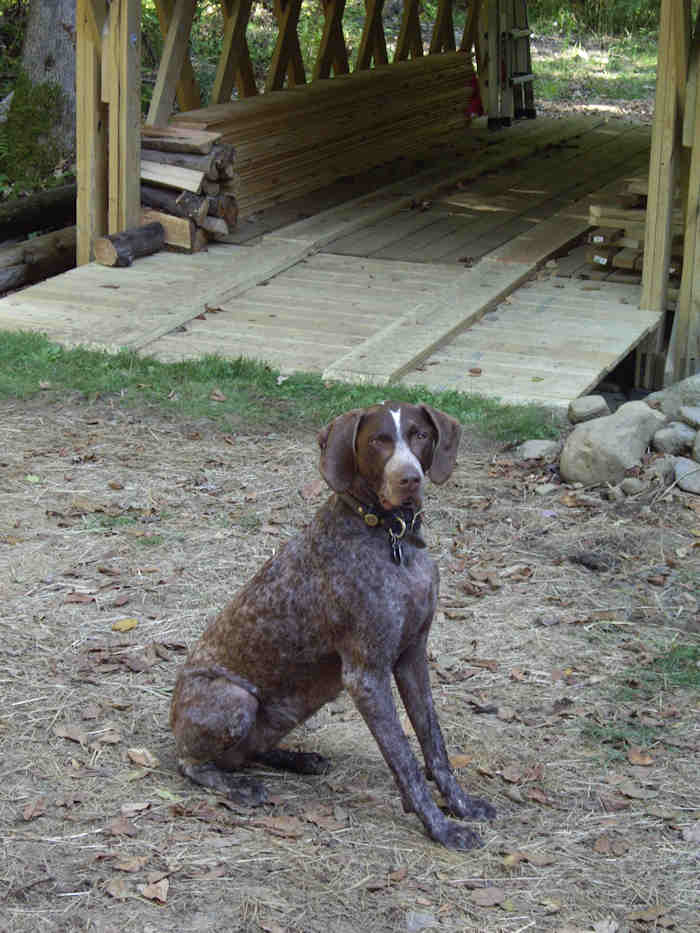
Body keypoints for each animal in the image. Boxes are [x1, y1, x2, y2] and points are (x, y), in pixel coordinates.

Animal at [170, 396, 494, 848]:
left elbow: (434, 744)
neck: (392, 538)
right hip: (235, 699)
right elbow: (407, 761)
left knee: (249, 751)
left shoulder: (413, 657)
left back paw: (298, 758)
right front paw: (441, 827)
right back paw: (237, 786)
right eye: (378, 441)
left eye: (420, 435)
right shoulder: (367, 676)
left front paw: (462, 805)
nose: (409, 479)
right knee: (193, 763)